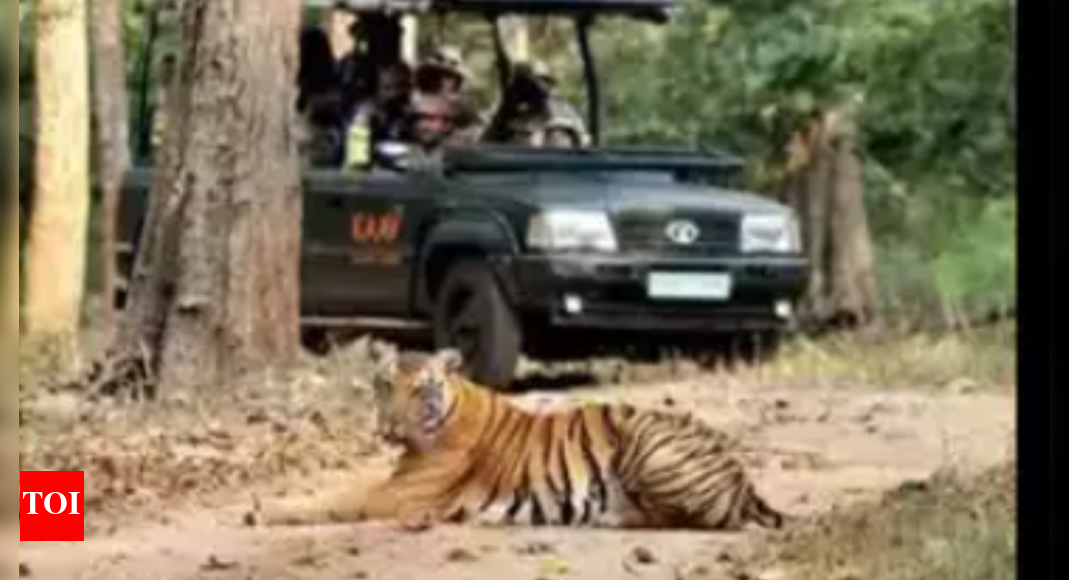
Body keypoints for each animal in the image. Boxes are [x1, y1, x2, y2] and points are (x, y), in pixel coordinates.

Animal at [257, 345, 789, 532]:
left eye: (420, 390)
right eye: (385, 386)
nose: (389, 428)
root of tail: (744, 479)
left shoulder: (397, 494)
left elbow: (334, 498)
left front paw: (264, 510)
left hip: (647, 439)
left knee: (686, 519)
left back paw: (612, 517)